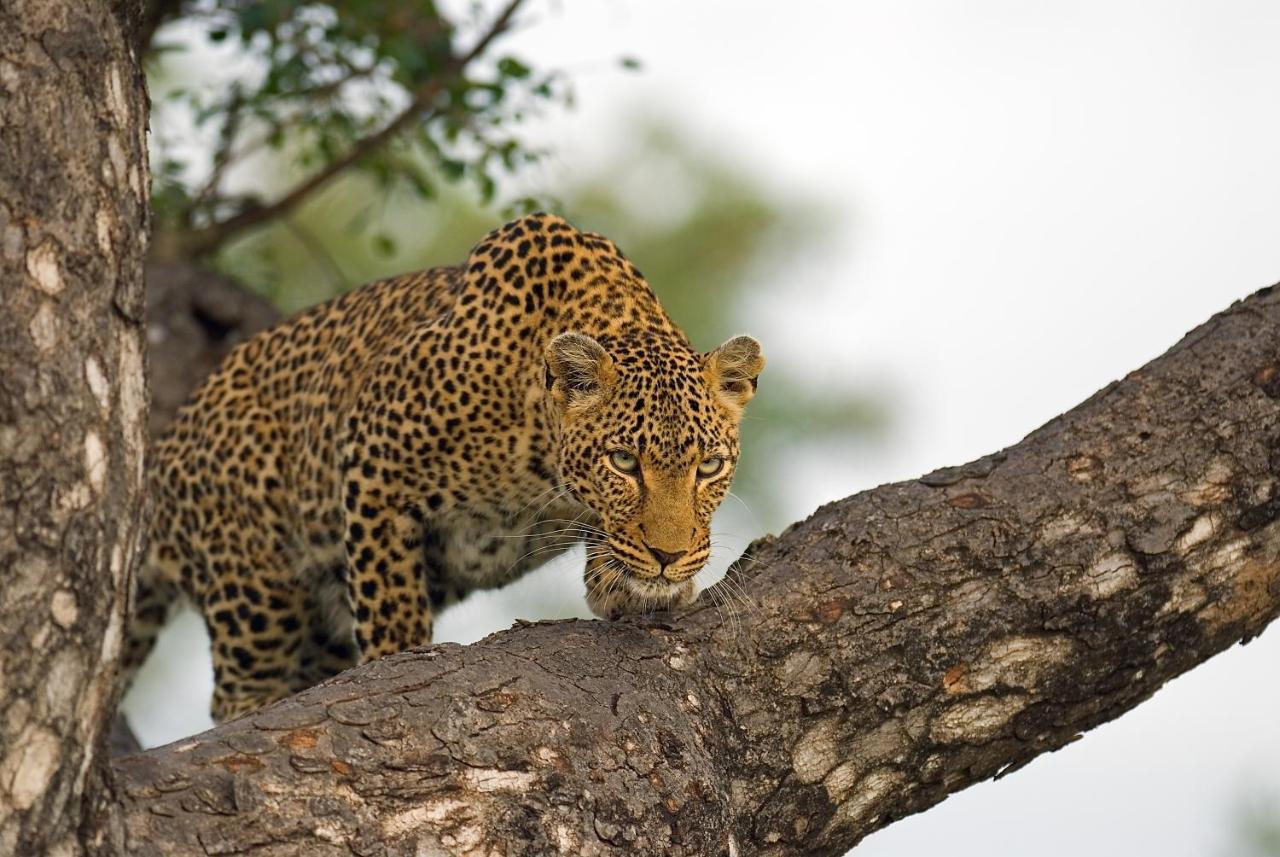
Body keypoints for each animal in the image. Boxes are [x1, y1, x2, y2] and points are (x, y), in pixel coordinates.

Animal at [124, 214, 762, 726]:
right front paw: (395, 662)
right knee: (238, 694)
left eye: (708, 466)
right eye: (624, 462)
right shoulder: (373, 456)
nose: (669, 556)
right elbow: (389, 598)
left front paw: (625, 582)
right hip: (254, 584)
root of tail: (162, 459)